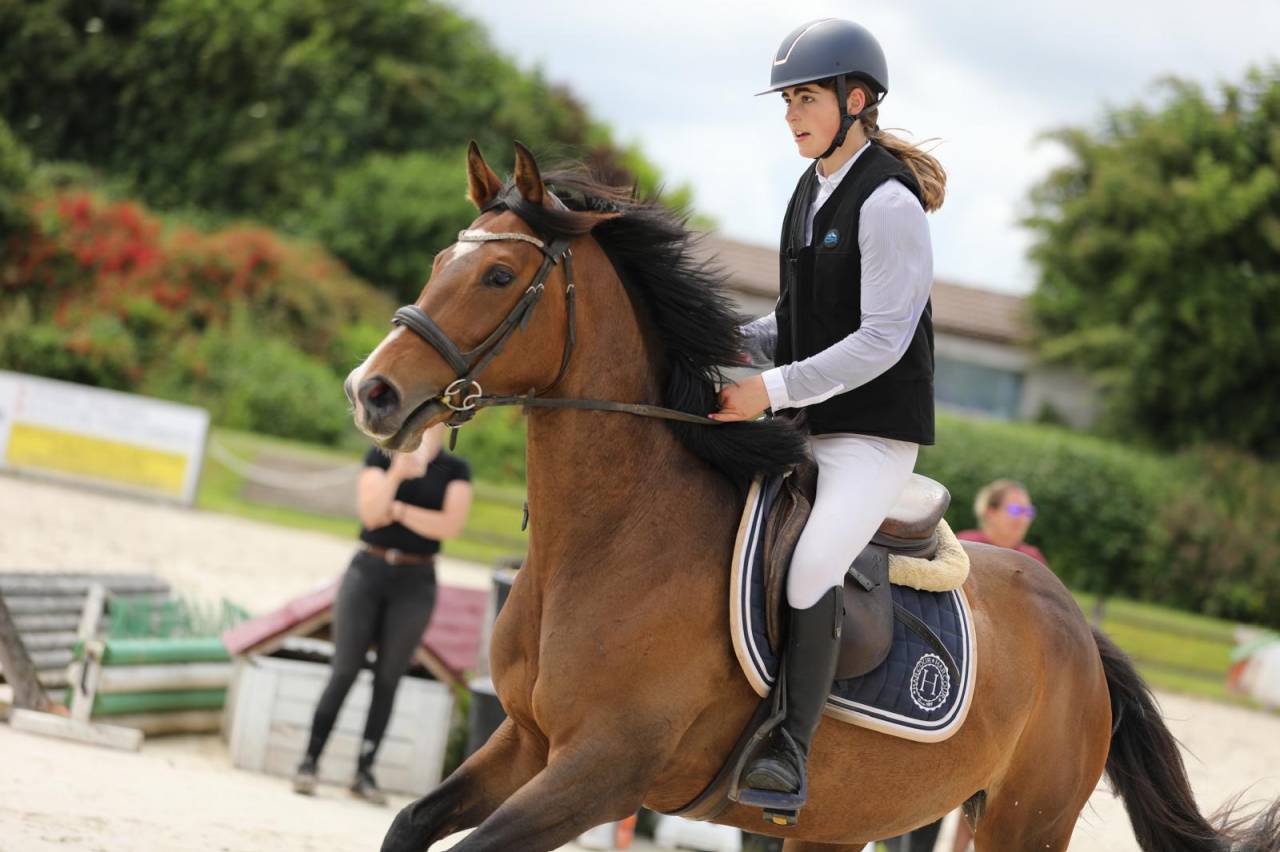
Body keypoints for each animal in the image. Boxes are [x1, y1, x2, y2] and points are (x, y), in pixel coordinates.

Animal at [344, 141, 1280, 852]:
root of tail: (1079, 631)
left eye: (499, 276)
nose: (371, 393)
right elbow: (411, 823)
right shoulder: (528, 741)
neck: (613, 538)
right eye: (442, 261)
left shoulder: (602, 770)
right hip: (840, 822)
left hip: (1023, 825)